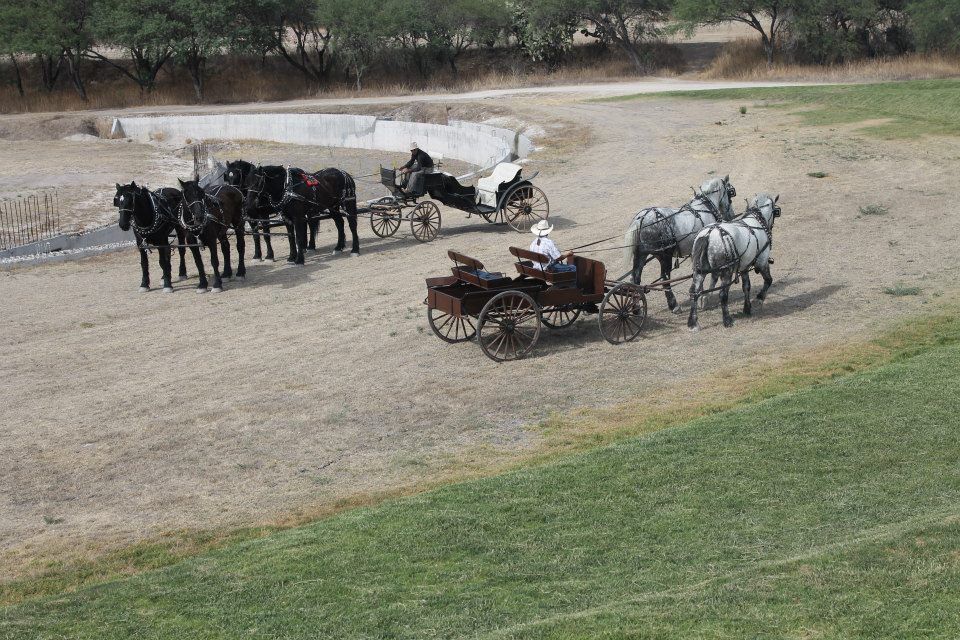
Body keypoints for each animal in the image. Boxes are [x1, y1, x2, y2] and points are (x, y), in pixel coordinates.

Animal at [623, 175, 737, 313]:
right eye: (730, 193)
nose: (731, 215)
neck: (705, 207)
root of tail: (642, 217)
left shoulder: (695, 251)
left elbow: (696, 271)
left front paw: (697, 292)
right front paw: (702, 297)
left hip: (641, 254)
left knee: (634, 279)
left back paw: (636, 309)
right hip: (664, 255)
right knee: (665, 278)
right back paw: (674, 305)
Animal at [687, 193, 781, 330]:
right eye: (776, 212)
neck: (757, 222)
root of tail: (708, 234)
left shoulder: (744, 267)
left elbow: (746, 286)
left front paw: (747, 308)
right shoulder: (762, 261)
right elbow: (768, 280)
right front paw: (758, 299)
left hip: (699, 271)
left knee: (694, 292)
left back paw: (693, 323)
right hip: (726, 271)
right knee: (722, 294)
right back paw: (727, 320)